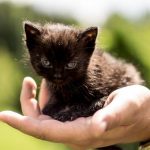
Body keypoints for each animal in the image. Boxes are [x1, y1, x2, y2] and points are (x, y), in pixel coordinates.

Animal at [23, 21, 143, 150]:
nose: (58, 75)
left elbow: (85, 104)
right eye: (46, 62)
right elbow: (48, 108)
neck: (68, 87)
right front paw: (54, 107)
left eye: (71, 64)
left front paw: (68, 113)